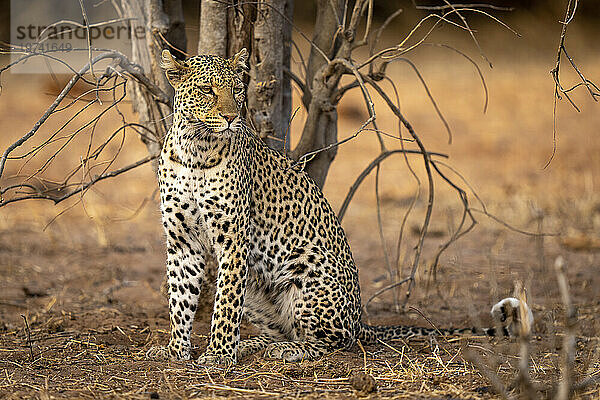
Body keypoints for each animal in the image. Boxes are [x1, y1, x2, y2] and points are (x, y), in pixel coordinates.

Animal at [148, 47, 532, 366]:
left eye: (237, 91)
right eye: (206, 91)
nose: (231, 117)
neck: (195, 150)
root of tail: (361, 318)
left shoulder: (233, 240)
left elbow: (225, 302)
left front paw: (218, 354)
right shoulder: (182, 242)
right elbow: (180, 298)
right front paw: (176, 349)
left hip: (309, 272)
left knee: (334, 341)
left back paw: (288, 351)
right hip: (259, 289)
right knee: (283, 329)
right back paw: (255, 344)